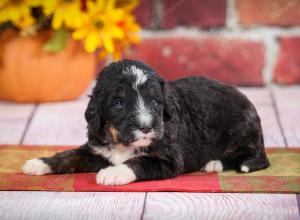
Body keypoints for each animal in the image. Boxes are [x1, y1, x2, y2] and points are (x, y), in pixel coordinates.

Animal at [21, 59, 270, 185]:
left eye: (156, 101)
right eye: (119, 103)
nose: (146, 127)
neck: (122, 144)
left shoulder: (168, 159)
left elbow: (138, 162)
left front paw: (113, 173)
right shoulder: (96, 150)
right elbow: (70, 155)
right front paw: (39, 163)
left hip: (243, 132)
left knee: (256, 157)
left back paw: (215, 163)